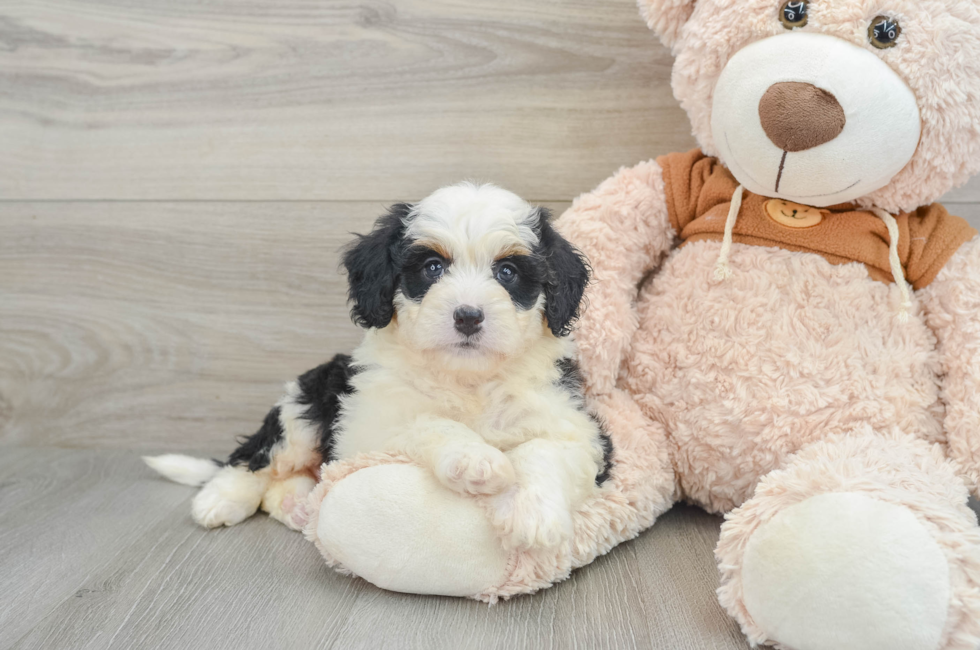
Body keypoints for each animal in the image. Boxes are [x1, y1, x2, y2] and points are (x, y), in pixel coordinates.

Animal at [144, 181, 612, 548]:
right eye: (432, 267)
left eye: (508, 272)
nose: (468, 316)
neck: (467, 381)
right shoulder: (369, 426)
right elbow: (428, 421)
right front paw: (474, 459)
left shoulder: (580, 429)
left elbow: (545, 450)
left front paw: (533, 514)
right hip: (307, 401)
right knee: (257, 454)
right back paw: (221, 499)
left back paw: (299, 505)